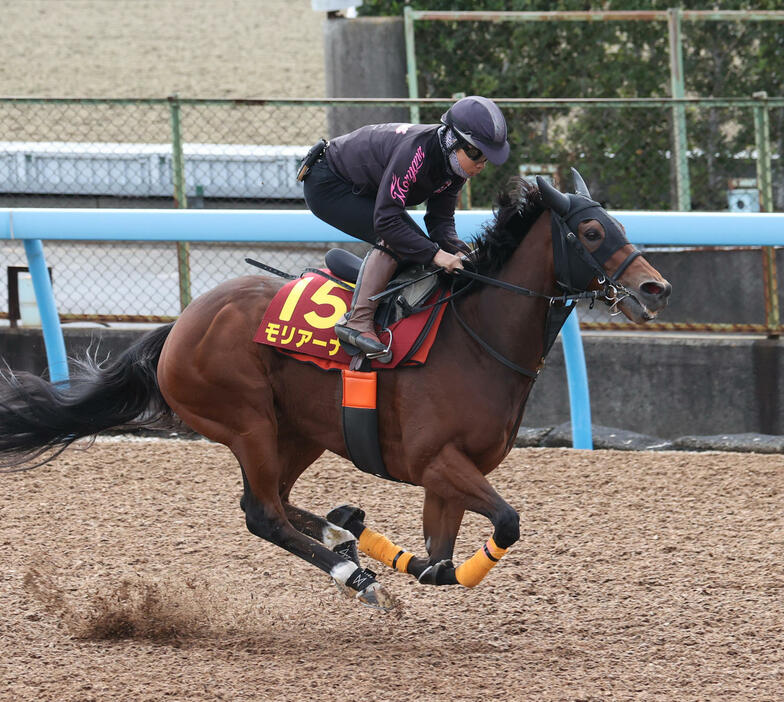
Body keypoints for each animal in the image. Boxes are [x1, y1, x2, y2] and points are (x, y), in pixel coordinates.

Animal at [0, 170, 672, 612]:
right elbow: (501, 526)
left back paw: (342, 531)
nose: (655, 288)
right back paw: (354, 575)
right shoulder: (438, 462)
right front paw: (377, 563)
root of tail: (178, 327)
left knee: (273, 501)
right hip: (248, 422)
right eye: (590, 231)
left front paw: (371, 536)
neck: (477, 336)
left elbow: (437, 563)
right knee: (261, 513)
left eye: (618, 223)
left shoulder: (448, 477)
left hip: (300, 431)